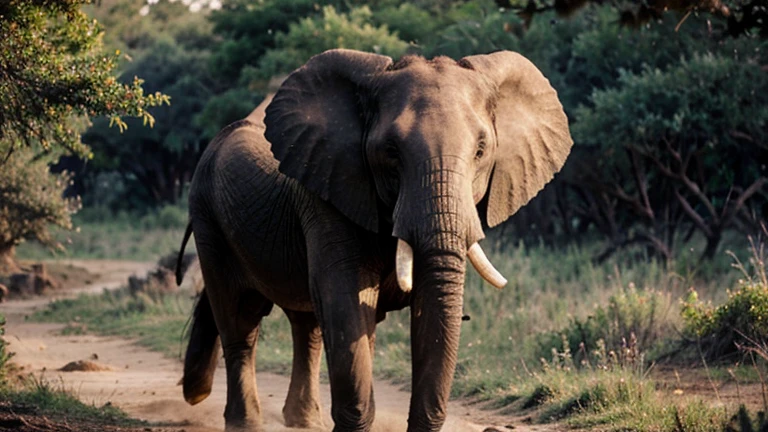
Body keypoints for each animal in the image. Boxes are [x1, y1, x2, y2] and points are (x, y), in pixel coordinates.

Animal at [178, 49, 568, 430]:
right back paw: (242, 421)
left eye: (481, 151)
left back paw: (304, 421)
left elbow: (423, 307)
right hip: (207, 216)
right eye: (391, 152)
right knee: (239, 322)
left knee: (306, 326)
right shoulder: (328, 191)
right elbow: (346, 299)